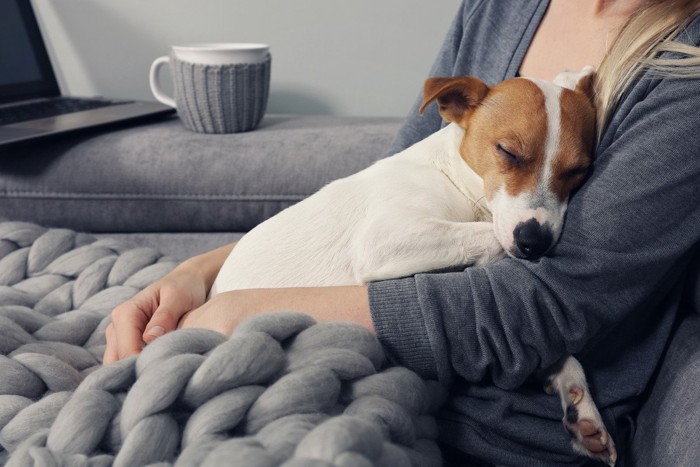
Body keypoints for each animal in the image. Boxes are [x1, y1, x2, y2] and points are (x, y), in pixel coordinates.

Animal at [211, 66, 616, 464]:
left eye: (577, 171)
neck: (455, 180)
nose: (535, 242)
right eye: (507, 152)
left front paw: (577, 397)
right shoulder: (385, 239)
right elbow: (486, 236)